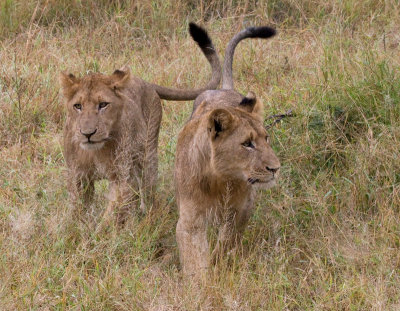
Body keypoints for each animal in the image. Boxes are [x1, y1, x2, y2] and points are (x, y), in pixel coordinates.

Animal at [60, 23, 220, 224]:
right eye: (78, 106)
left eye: (103, 104)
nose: (88, 134)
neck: (96, 151)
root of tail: (146, 82)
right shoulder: (78, 176)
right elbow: (78, 210)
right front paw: (75, 228)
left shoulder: (122, 176)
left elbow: (112, 212)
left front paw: (102, 230)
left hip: (148, 154)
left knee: (147, 188)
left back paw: (147, 216)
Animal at [173, 25, 280, 278]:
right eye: (247, 143)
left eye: (266, 138)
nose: (276, 168)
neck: (221, 179)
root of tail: (223, 89)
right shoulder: (190, 221)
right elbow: (194, 259)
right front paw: (201, 284)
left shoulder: (241, 211)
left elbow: (226, 243)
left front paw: (219, 265)